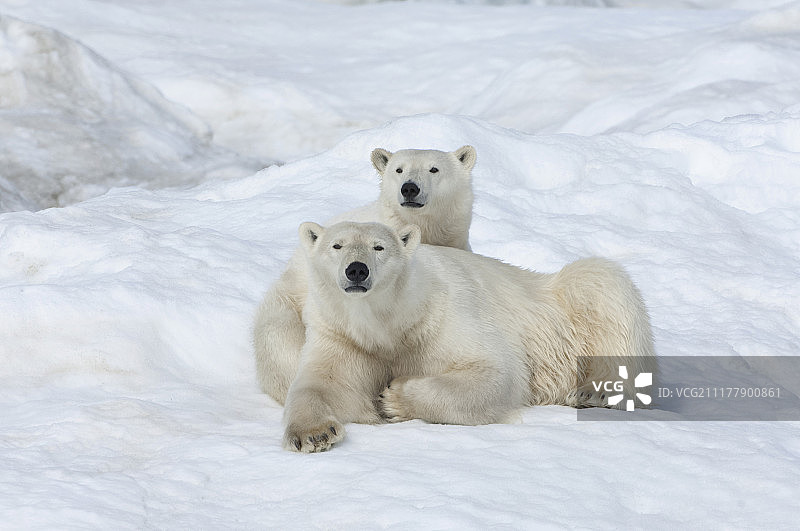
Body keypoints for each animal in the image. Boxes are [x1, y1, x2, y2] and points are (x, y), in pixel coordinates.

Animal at [282, 221, 657, 452]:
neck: (392, 323)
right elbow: (324, 385)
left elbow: (496, 372)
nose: (356, 270)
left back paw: (595, 391)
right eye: (337, 245)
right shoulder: (343, 336)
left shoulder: (443, 316)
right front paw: (313, 434)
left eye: (379, 247)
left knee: (601, 283)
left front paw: (394, 398)